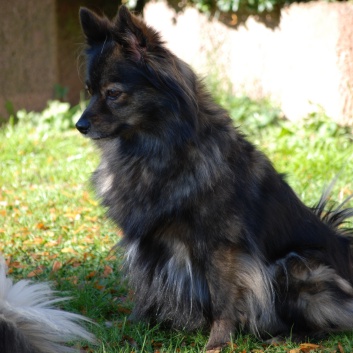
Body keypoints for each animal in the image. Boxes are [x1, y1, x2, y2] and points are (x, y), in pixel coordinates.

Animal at [76, 6, 352, 350]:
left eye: (113, 93)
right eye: (89, 91)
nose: (80, 125)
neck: (153, 151)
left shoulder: (221, 247)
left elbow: (223, 299)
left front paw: (218, 342)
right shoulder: (149, 246)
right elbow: (145, 291)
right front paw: (130, 329)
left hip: (297, 266)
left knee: (331, 321)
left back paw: (287, 336)